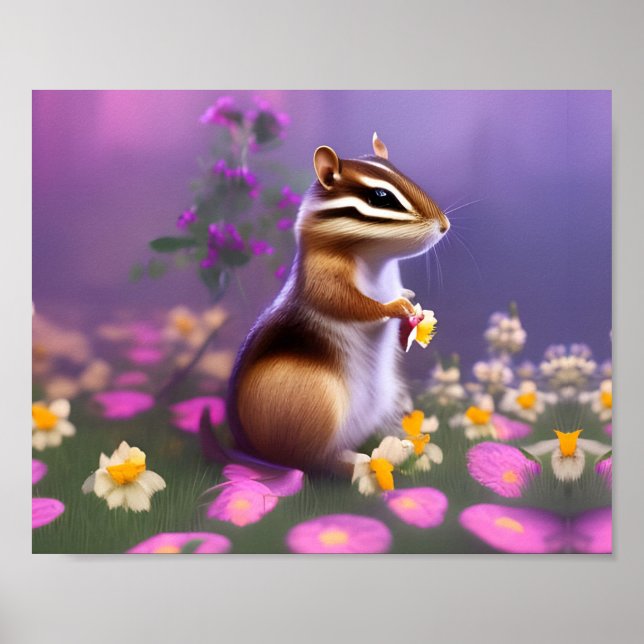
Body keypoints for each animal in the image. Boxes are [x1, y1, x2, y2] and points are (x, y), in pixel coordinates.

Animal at [225, 133, 449, 472]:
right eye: (381, 196)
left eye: (406, 174)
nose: (445, 224)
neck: (378, 261)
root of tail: (254, 452)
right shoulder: (325, 279)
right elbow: (350, 304)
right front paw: (396, 307)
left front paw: (410, 299)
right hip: (316, 403)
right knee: (310, 460)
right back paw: (356, 463)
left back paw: (402, 447)